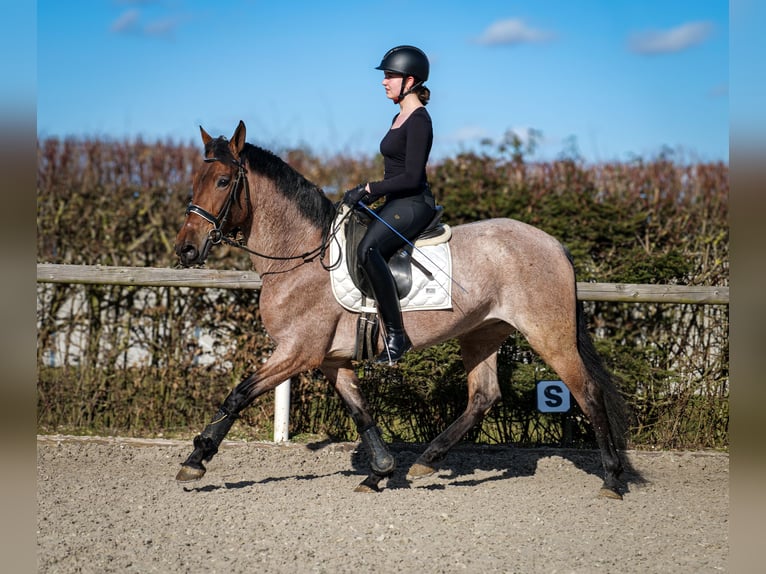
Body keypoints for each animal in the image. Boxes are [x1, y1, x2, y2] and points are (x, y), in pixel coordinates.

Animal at [177, 120, 632, 500]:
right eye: (194, 181)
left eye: (222, 181)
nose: (185, 250)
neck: (302, 257)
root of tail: (554, 244)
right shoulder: (329, 359)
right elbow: (360, 412)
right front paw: (380, 470)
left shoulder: (297, 352)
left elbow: (238, 394)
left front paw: (196, 459)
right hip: (482, 331)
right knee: (483, 396)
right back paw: (426, 461)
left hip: (549, 333)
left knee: (588, 392)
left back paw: (611, 479)